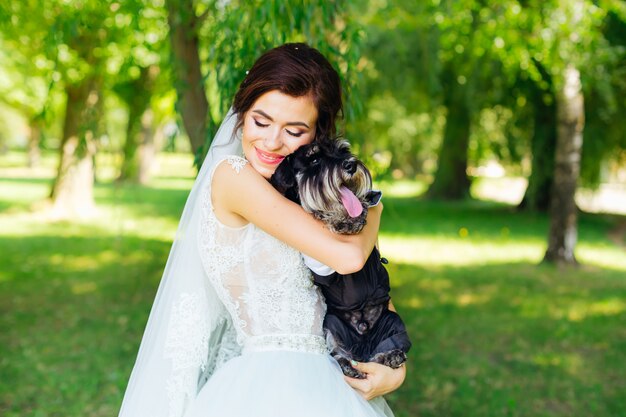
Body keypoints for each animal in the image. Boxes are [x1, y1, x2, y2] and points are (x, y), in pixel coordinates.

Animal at [270, 139, 410, 376]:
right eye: (314, 159)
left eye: (343, 150)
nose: (350, 165)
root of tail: (362, 341)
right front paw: (339, 219)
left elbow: (364, 202)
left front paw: (356, 214)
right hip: (332, 325)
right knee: (337, 351)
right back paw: (347, 365)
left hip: (393, 322)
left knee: (385, 350)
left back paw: (391, 356)